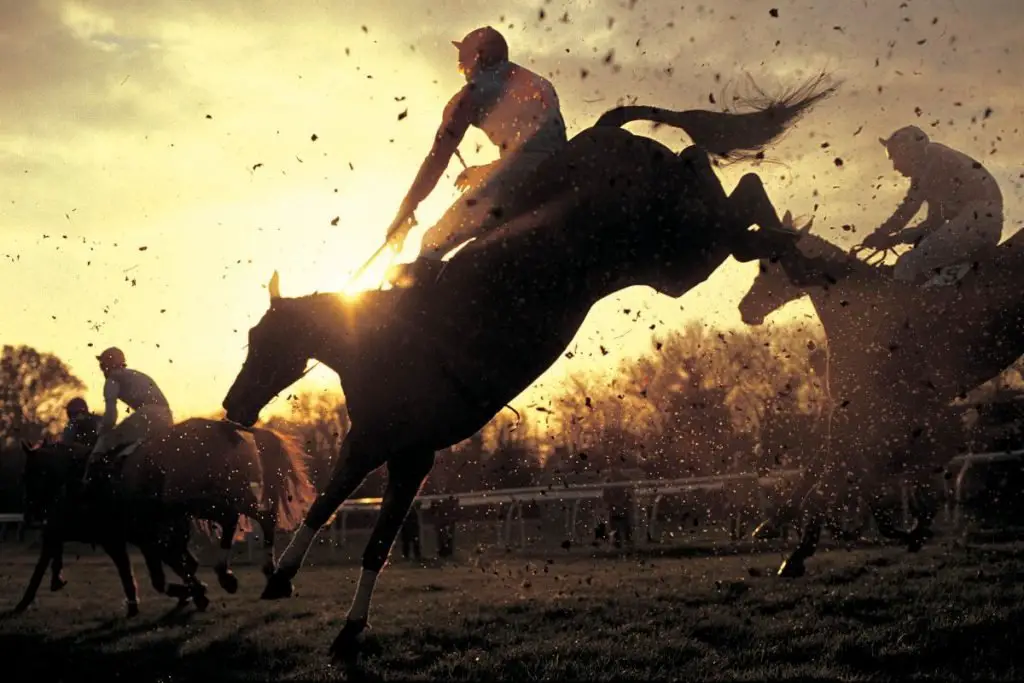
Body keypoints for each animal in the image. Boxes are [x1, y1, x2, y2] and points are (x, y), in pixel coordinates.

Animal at [111, 417, 311, 593]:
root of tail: (227, 429)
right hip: (236, 497)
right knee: (265, 518)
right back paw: (269, 572)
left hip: (204, 502)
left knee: (232, 520)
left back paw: (226, 575)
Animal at [220, 77, 835, 663]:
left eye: (263, 340)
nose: (233, 405)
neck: (375, 341)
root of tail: (605, 133)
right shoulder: (393, 450)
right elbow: (341, 516)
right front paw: (296, 590)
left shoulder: (392, 447)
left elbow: (355, 526)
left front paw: (326, 612)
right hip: (676, 256)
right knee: (721, 184)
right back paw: (791, 246)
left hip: (680, 248)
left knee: (739, 200)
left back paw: (795, 247)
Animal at [741, 225, 1024, 577]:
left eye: (769, 264)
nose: (745, 308)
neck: (858, 310)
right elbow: (827, 466)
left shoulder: (869, 409)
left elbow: (832, 471)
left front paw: (798, 550)